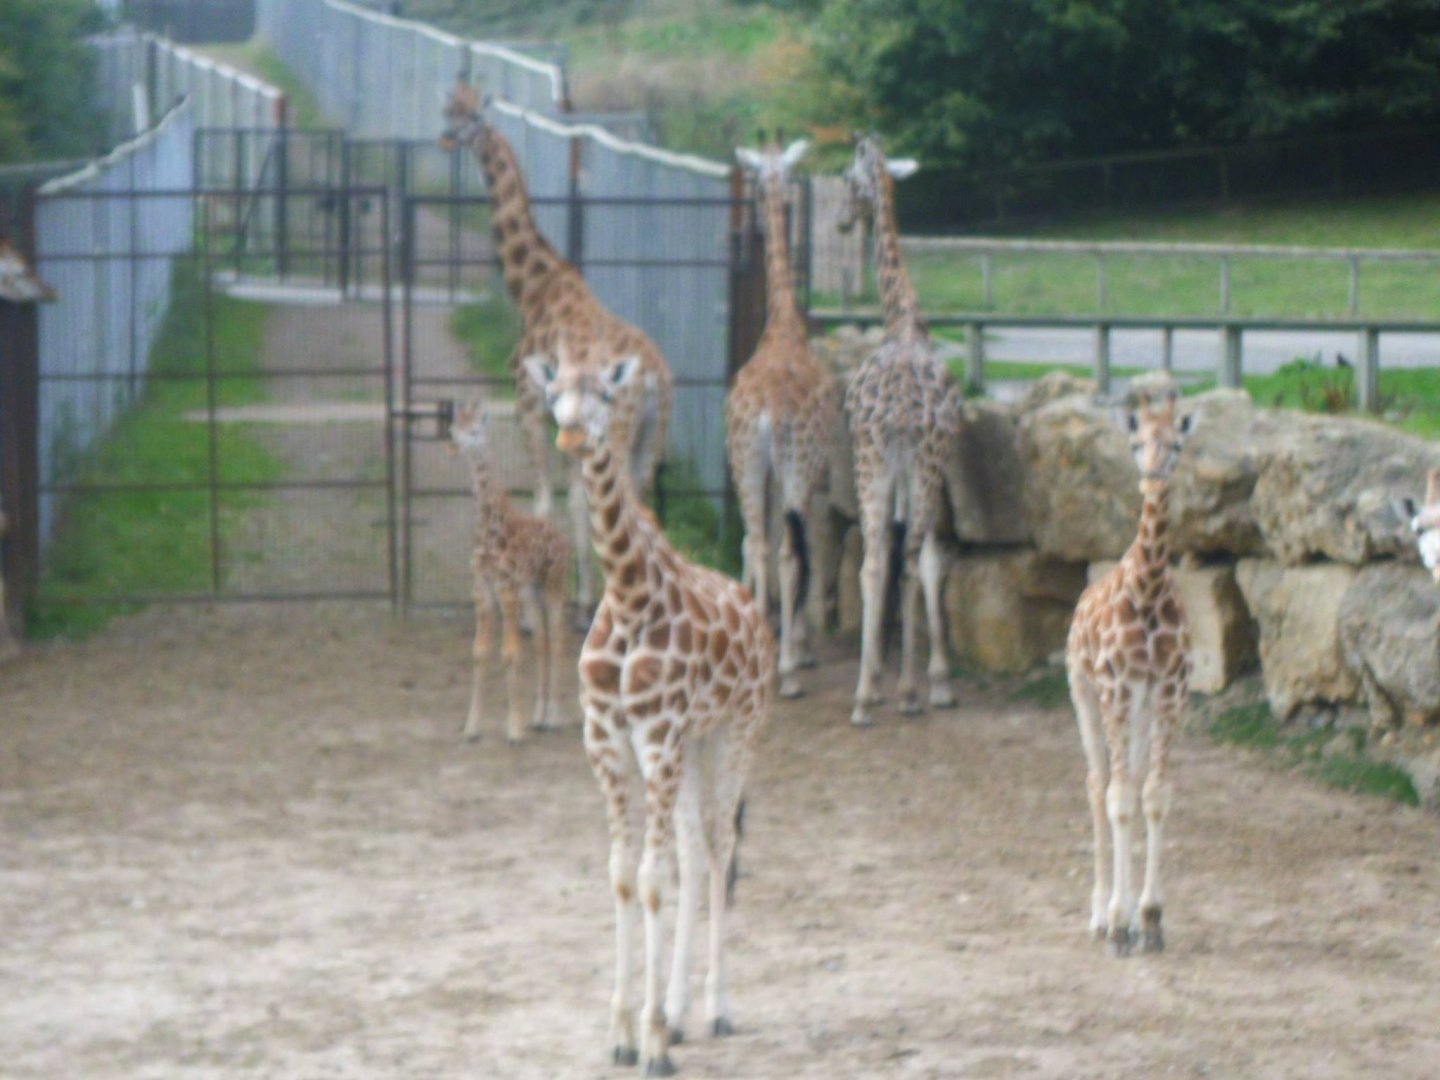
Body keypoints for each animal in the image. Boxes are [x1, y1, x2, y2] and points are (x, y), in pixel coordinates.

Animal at [441, 82, 674, 618]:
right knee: (644, 505)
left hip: (621, 431)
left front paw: (536, 609)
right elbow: (579, 507)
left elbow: (548, 501)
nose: (444, 138)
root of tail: (653, 376)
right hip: (650, 437)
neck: (535, 288)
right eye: (449, 108)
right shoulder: (566, 426)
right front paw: (582, 593)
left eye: (465, 116)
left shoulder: (528, 405)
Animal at [449, 401, 571, 743]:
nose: (454, 445)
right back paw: (538, 717)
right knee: (542, 641)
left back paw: (554, 718)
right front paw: (472, 727)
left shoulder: (506, 588)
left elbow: (510, 653)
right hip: (532, 591)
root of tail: (561, 536)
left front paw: (514, 729)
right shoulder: (482, 588)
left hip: (554, 586)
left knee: (558, 638)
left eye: (475, 430)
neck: (491, 527)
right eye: (454, 428)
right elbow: (480, 652)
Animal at [523, 345, 772, 1077]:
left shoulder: (657, 738)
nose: (571, 435)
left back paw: (715, 1009)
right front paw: (627, 1030)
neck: (632, 597)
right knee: (693, 849)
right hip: (693, 746)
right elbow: (622, 877)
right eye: (554, 392)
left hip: (736, 732)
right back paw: (682, 1010)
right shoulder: (606, 740)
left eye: (605, 393)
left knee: (719, 847)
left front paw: (654, 1040)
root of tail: (754, 610)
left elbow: (652, 878)